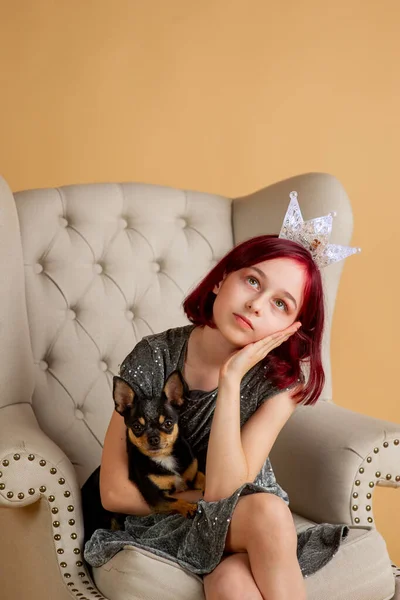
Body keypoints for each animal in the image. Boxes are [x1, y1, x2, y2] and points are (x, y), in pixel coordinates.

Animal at [81, 368, 206, 540]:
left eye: (168, 423)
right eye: (136, 427)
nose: (153, 438)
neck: (163, 457)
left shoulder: (192, 475)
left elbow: (202, 478)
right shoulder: (156, 497)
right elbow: (175, 500)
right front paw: (189, 507)